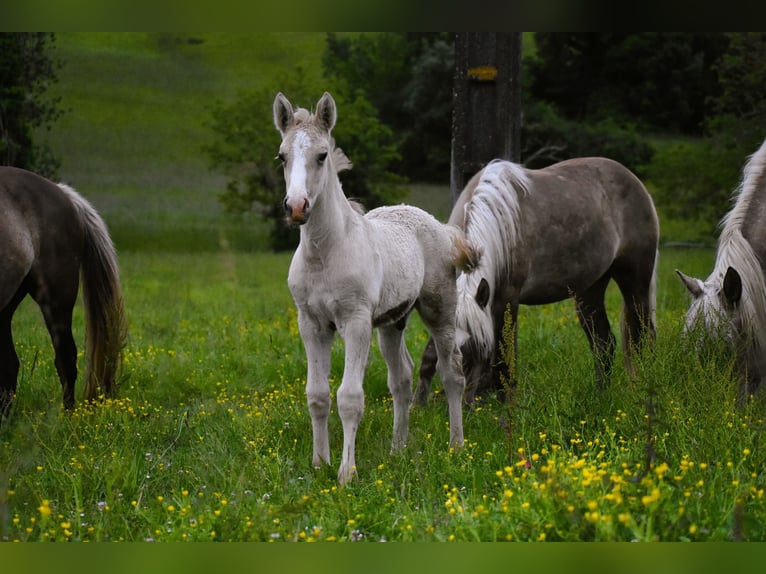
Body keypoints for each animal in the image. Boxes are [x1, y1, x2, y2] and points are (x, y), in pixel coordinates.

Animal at [414, 158, 660, 404]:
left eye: (482, 348)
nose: (466, 404)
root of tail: (637, 184)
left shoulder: (506, 300)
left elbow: (504, 358)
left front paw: (506, 405)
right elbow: (429, 356)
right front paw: (418, 404)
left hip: (635, 283)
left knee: (643, 338)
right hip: (590, 290)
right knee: (604, 344)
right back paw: (600, 397)